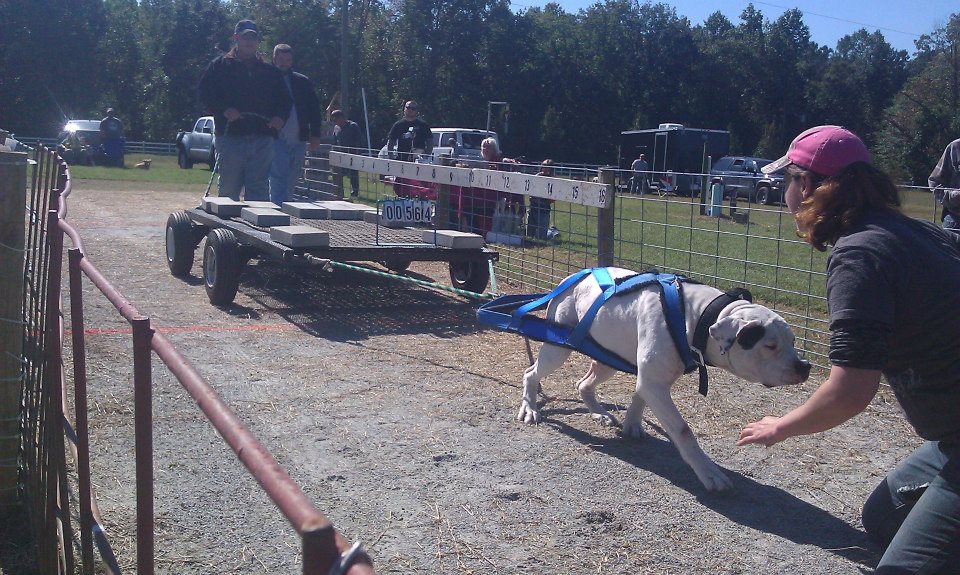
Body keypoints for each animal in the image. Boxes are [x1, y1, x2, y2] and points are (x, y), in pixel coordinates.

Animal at [516, 268, 808, 492]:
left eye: (793, 341)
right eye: (770, 345)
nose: (805, 366)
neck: (697, 315)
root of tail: (570, 279)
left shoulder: (649, 379)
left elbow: (639, 397)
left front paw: (632, 424)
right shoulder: (654, 382)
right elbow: (683, 431)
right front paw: (708, 472)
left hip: (608, 356)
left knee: (584, 383)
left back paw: (599, 413)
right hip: (559, 349)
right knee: (531, 373)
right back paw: (530, 407)